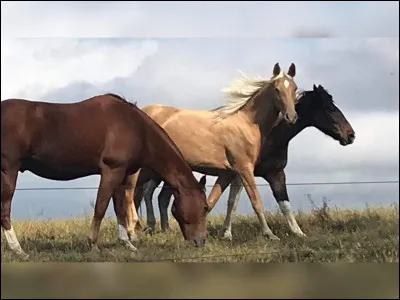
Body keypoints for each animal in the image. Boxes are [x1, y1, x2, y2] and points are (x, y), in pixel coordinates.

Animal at [2, 92, 209, 258]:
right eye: (206, 207)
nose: (200, 242)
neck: (135, 126)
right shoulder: (112, 170)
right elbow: (101, 207)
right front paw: (93, 244)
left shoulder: (123, 174)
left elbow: (120, 209)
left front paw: (127, 243)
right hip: (9, 170)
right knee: (5, 210)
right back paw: (19, 250)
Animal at [126, 62, 298, 240]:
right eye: (277, 89)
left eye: (295, 88)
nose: (291, 117)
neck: (246, 123)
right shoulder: (245, 170)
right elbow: (256, 201)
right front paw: (270, 234)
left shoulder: (231, 173)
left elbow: (221, 201)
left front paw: (224, 234)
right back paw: (133, 233)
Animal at [136, 84, 354, 237]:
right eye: (329, 108)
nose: (351, 135)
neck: (268, 133)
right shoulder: (239, 173)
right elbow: (233, 201)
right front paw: (227, 233)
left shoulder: (274, 173)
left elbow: (282, 202)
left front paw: (298, 232)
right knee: (143, 193)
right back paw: (147, 227)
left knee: (157, 196)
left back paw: (159, 228)